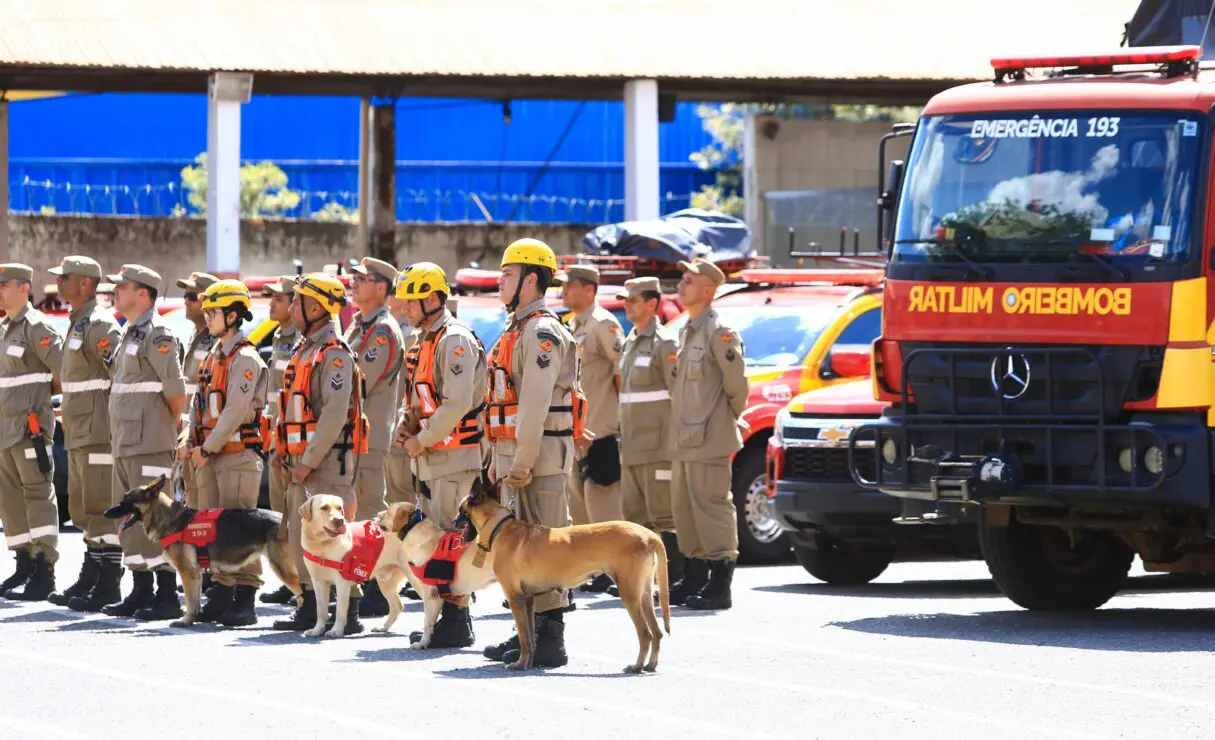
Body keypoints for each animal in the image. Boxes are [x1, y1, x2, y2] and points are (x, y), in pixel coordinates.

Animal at [105, 476, 303, 626]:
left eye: (127, 500)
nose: (106, 512)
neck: (169, 518)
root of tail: (286, 521)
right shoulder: (196, 573)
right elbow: (195, 600)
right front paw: (194, 618)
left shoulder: (187, 572)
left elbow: (190, 600)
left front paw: (185, 621)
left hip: (283, 568)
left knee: (302, 593)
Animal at [297, 495, 413, 636]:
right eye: (324, 507)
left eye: (339, 508)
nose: (340, 521)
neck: (322, 544)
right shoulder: (318, 582)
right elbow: (321, 610)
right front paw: (317, 630)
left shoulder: (342, 582)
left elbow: (340, 611)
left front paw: (336, 631)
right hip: (386, 581)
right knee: (397, 606)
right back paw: (383, 627)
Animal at [456, 476, 675, 670]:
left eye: (460, 511)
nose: (453, 521)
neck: (500, 526)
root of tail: (648, 534)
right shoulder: (527, 599)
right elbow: (529, 636)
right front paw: (528, 663)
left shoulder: (515, 598)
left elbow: (524, 638)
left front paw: (519, 664)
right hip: (644, 594)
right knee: (657, 632)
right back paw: (650, 665)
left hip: (629, 594)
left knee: (645, 633)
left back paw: (637, 666)